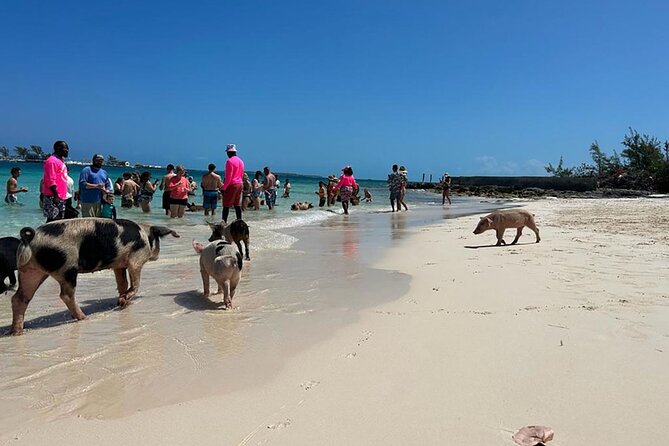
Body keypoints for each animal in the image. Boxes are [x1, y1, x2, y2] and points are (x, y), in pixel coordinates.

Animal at [9, 218, 179, 335]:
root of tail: (30, 238)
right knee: (66, 295)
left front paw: (122, 302)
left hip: (30, 270)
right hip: (67, 267)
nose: (157, 255)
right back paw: (83, 317)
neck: (145, 235)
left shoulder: (118, 265)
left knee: (20, 298)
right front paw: (125, 300)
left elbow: (122, 282)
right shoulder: (135, 260)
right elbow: (135, 283)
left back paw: (17, 332)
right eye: (157, 240)